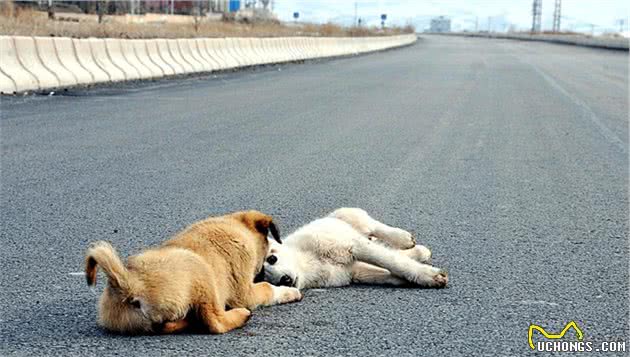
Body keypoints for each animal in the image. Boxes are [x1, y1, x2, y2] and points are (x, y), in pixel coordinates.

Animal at [86, 209, 304, 334]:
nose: (286, 279)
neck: (235, 227)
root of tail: (127, 283)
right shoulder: (244, 292)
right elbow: (267, 288)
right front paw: (289, 291)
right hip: (201, 271)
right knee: (214, 322)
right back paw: (241, 315)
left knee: (169, 325)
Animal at [262, 207, 450, 288]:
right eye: (260, 278)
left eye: (272, 258)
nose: (284, 280)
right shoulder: (354, 272)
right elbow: (385, 272)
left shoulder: (353, 246)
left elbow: (392, 261)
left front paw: (429, 276)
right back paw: (420, 251)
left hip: (350, 216)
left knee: (375, 227)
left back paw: (405, 238)